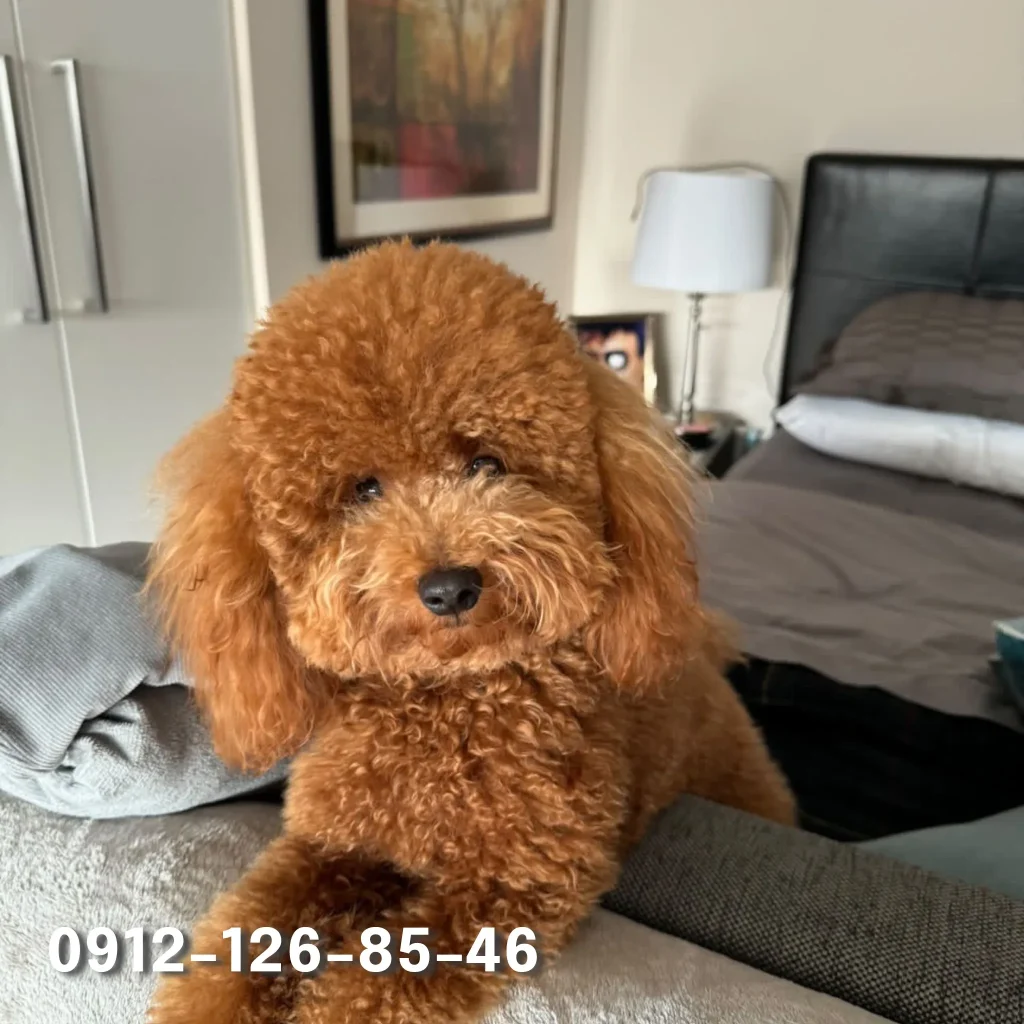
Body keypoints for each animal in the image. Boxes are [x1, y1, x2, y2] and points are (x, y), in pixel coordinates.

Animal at [148, 241, 794, 1024]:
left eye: (487, 464)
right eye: (364, 489)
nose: (450, 586)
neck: (447, 704)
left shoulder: (516, 880)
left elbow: (379, 980)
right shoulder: (333, 842)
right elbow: (253, 923)